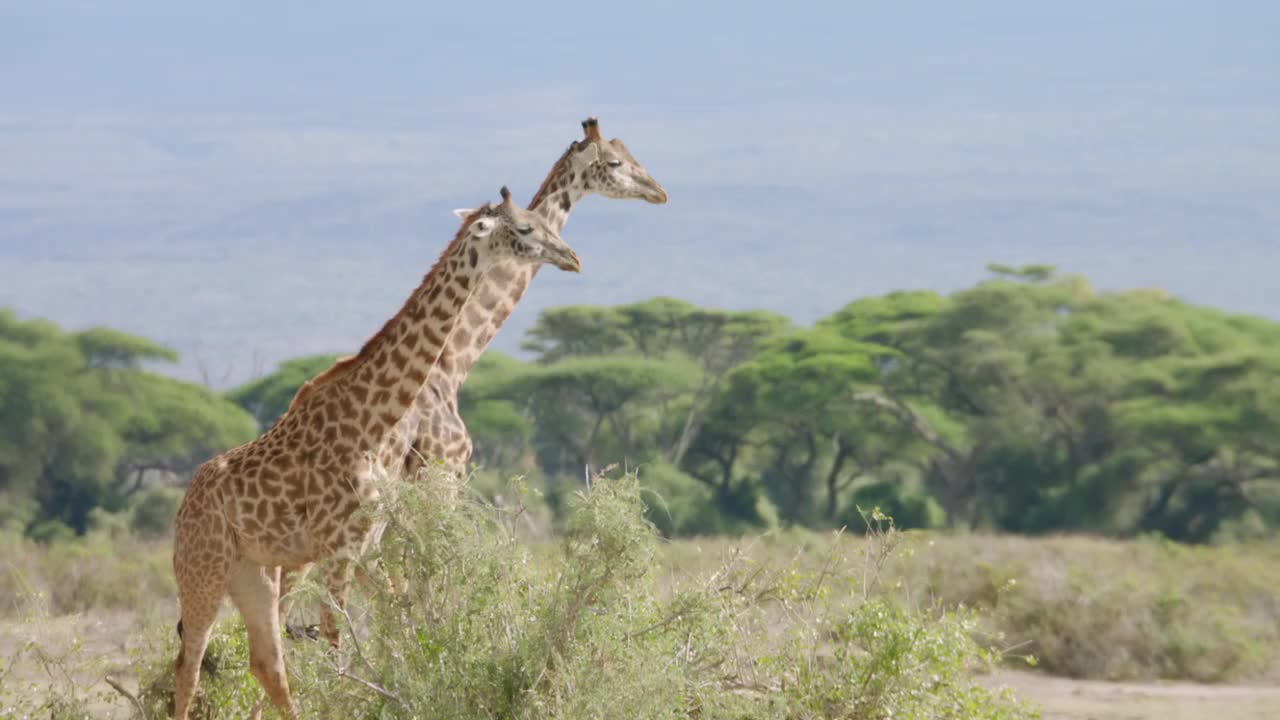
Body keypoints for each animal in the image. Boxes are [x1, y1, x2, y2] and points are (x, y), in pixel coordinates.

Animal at [172, 185, 583, 717]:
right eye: (527, 227)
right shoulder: (337, 549)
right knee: (190, 665)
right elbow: (337, 649)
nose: (572, 257)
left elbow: (395, 625)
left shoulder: (366, 547)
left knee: (267, 664)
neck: (372, 420)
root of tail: (184, 505)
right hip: (203, 567)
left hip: (254, 572)